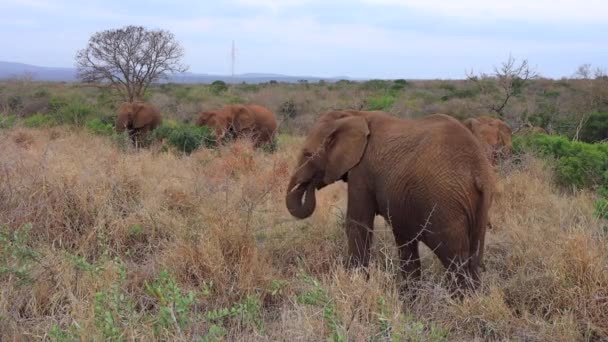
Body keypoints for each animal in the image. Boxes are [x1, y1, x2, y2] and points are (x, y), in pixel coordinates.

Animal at [284, 110, 494, 292]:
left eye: (307, 154)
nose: (308, 184)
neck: (353, 114)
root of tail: (477, 173)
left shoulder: (362, 171)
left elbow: (357, 224)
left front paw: (356, 282)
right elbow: (404, 237)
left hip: (445, 203)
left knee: (456, 261)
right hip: (478, 205)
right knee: (474, 258)